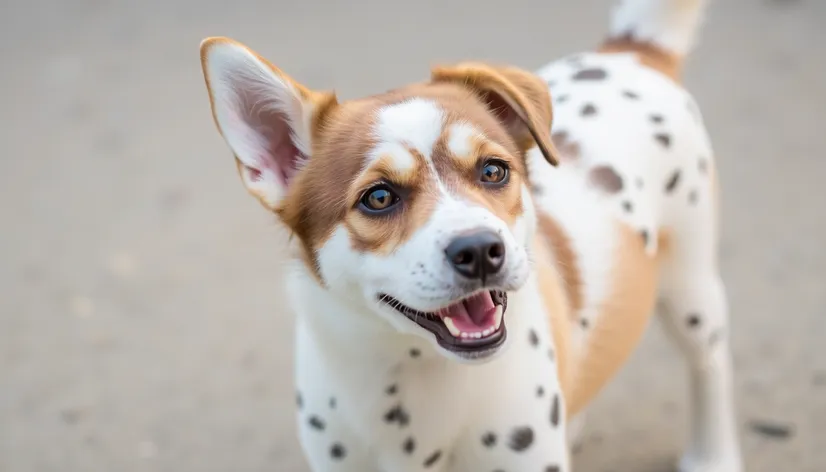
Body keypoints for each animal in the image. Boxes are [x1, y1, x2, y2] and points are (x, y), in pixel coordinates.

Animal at [198, 0, 740, 470]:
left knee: (709, 365)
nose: (480, 250)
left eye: (494, 170)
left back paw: (712, 456)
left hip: (692, 287)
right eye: (379, 197)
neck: (410, 372)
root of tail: (629, 50)